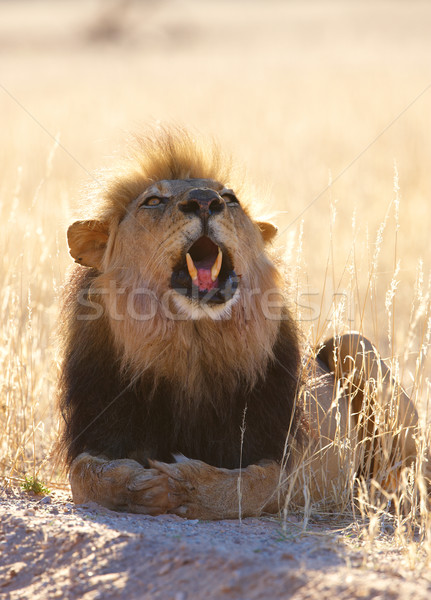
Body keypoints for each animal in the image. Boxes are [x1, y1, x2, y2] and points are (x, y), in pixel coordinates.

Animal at [57, 127, 426, 520]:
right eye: (153, 201)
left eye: (229, 198)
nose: (205, 201)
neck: (192, 343)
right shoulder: (101, 427)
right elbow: (83, 473)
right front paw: (137, 485)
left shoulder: (302, 463)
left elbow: (256, 485)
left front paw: (189, 486)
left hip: (351, 345)